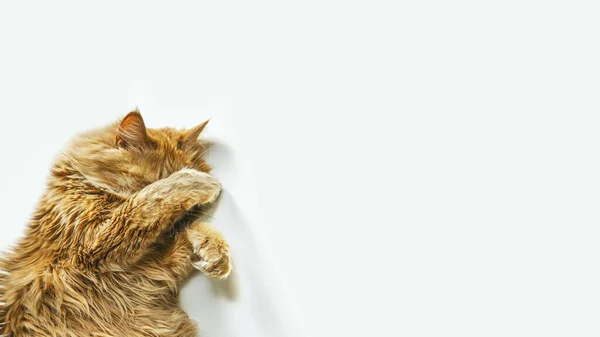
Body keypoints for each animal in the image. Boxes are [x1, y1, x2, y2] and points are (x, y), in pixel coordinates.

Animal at [0, 109, 232, 334]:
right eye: (148, 181)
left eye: (192, 208)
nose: (179, 219)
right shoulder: (94, 243)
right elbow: (150, 200)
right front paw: (196, 181)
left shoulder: (155, 269)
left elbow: (195, 230)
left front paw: (215, 254)